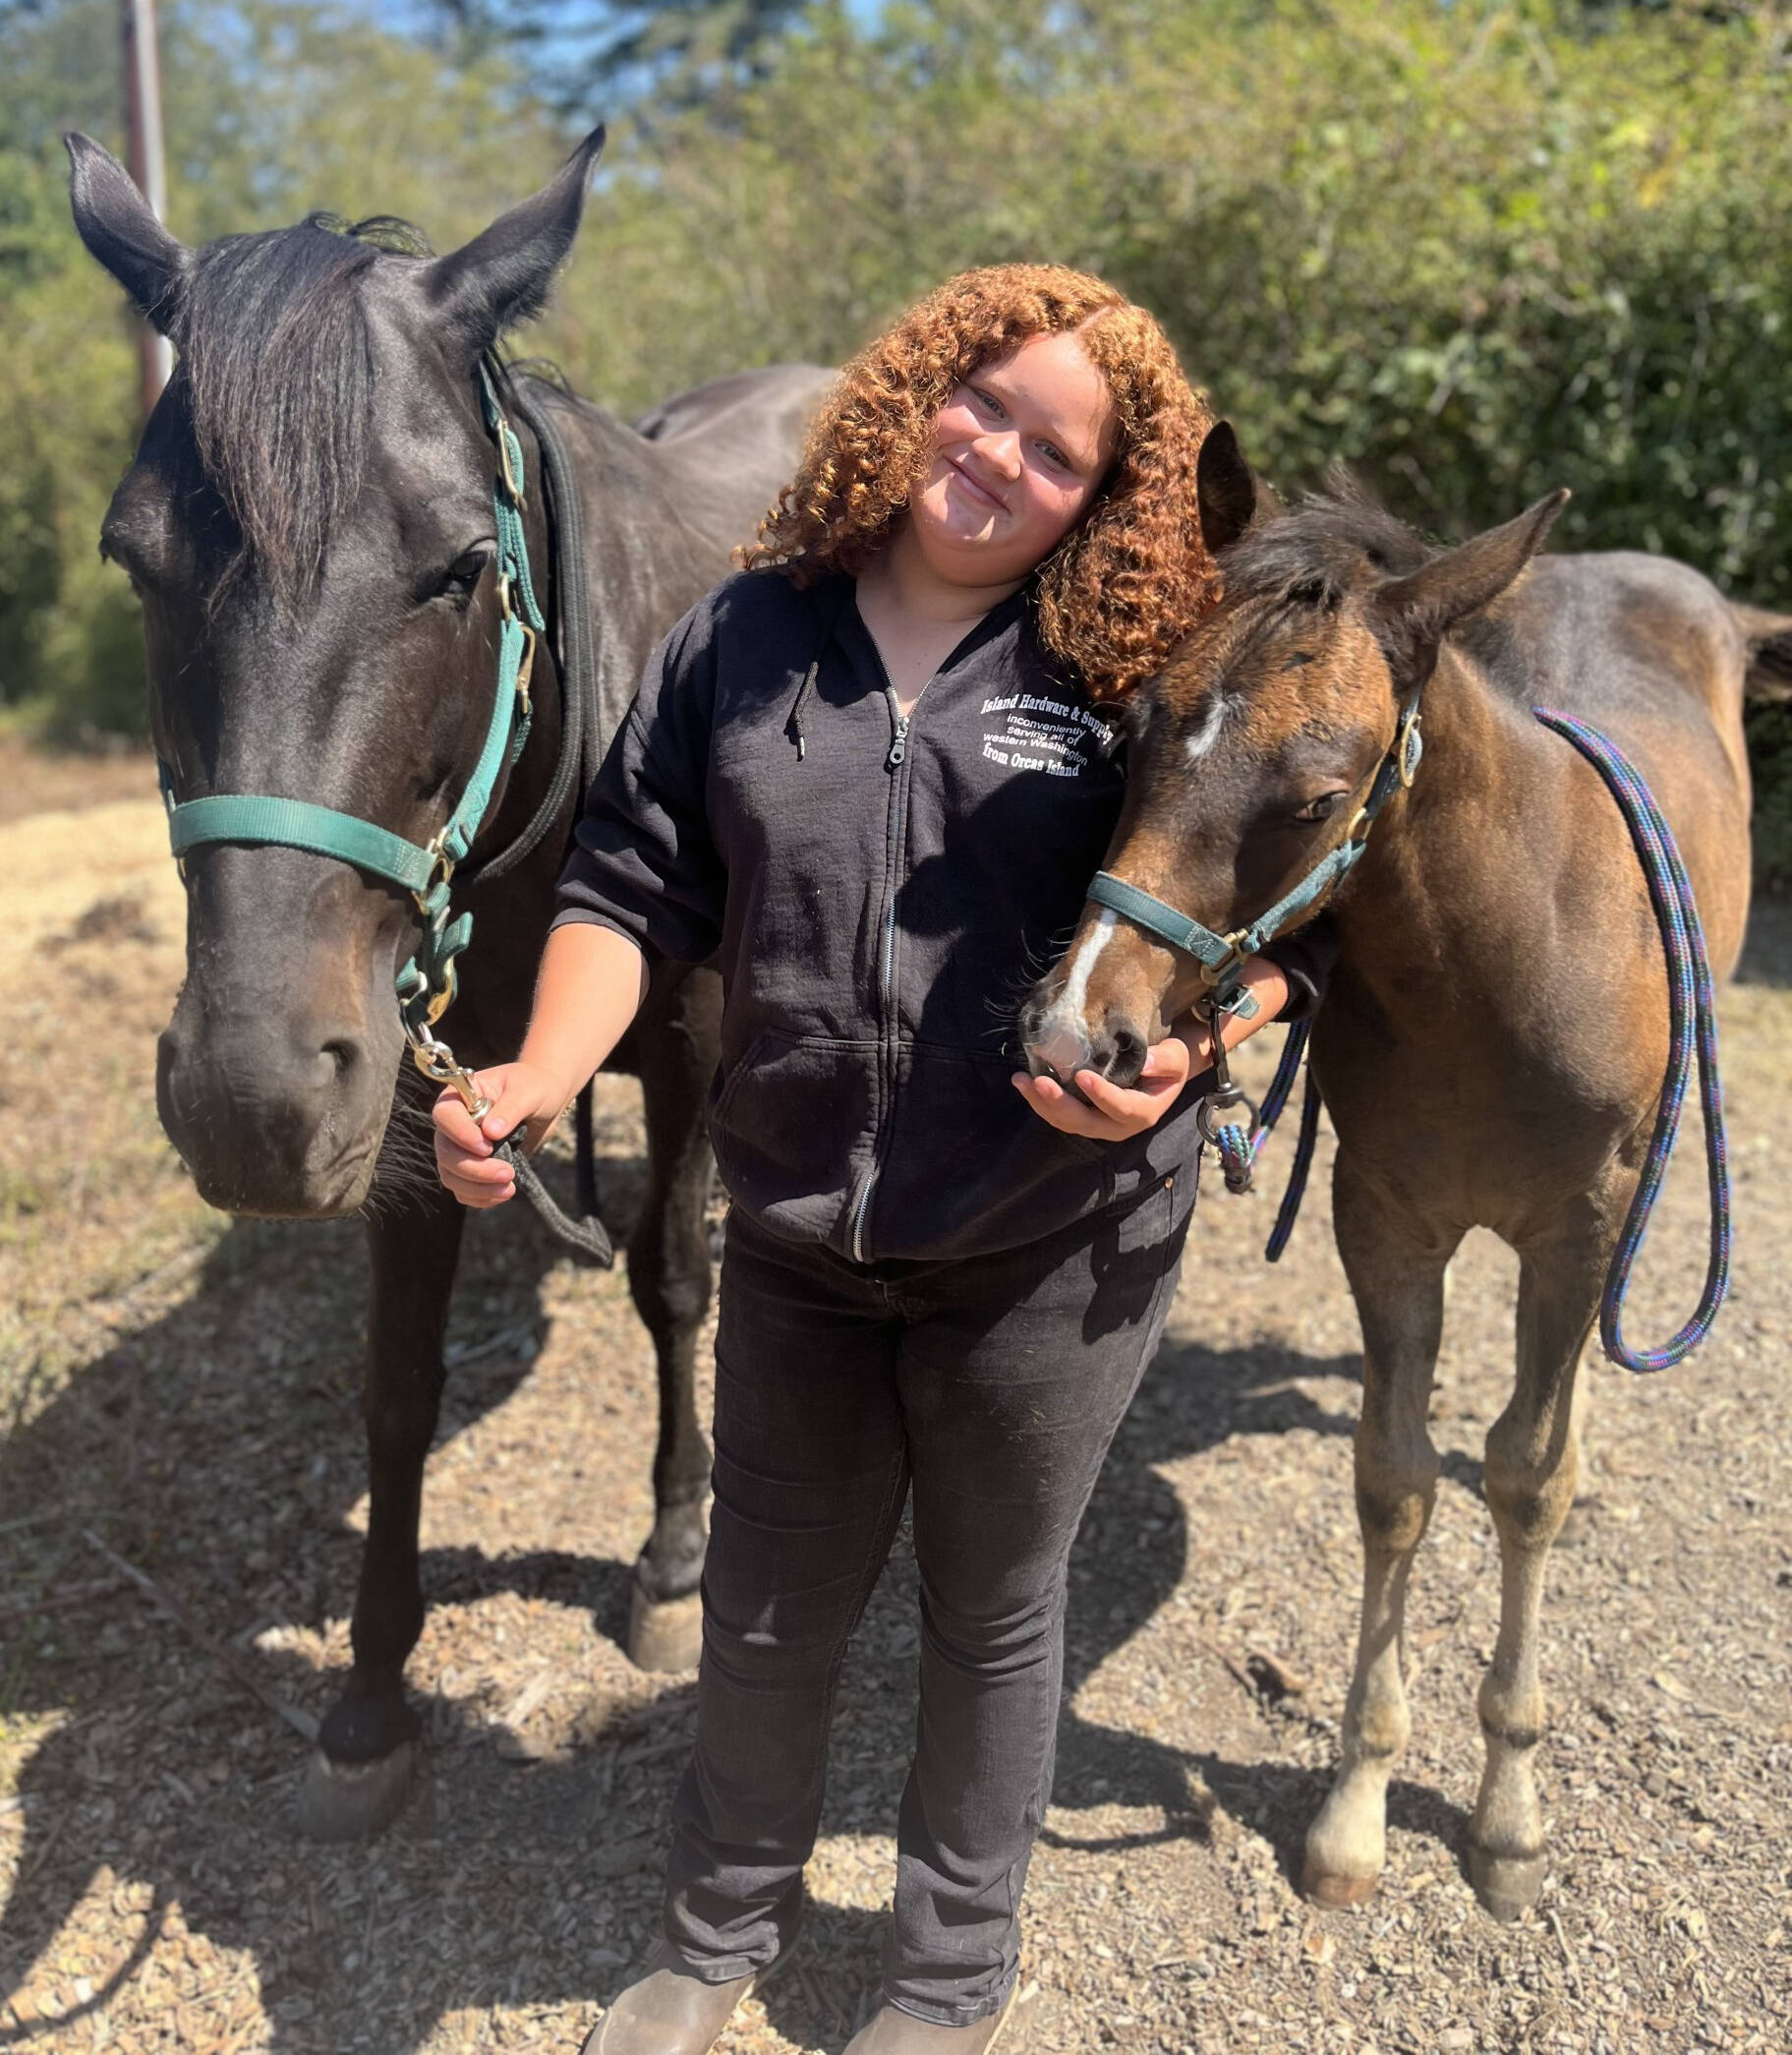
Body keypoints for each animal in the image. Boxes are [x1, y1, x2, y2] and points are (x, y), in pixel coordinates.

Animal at [66, 124, 830, 1833]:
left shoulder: (686, 1047)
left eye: (461, 566)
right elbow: (396, 1382)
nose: (249, 1095)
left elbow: (674, 1281)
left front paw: (671, 1556)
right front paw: (367, 1686)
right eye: (134, 564)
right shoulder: (408, 1092)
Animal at [1014, 429, 1783, 1923]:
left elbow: (1525, 1477)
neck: (1496, 962)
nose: (1080, 1032)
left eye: (1314, 797)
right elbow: (1395, 1476)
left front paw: (1505, 1817)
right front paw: (1355, 1808)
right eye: (1129, 737)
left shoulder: (1575, 1229)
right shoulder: (1381, 1222)